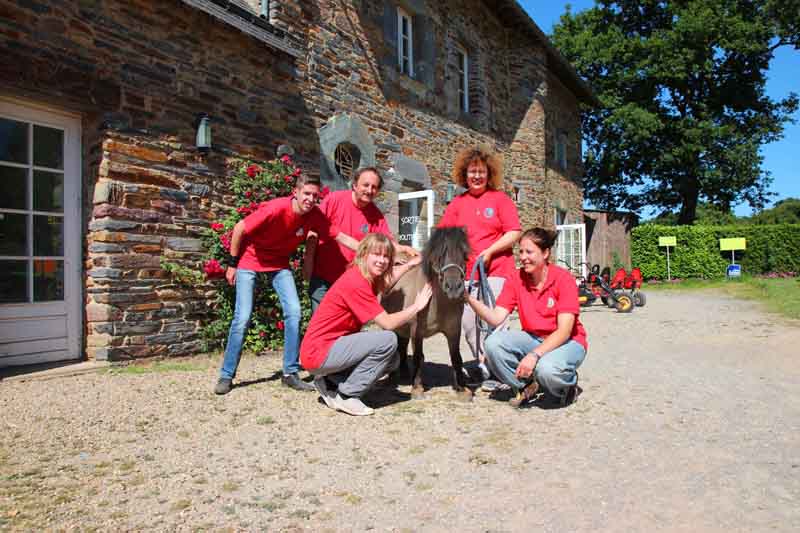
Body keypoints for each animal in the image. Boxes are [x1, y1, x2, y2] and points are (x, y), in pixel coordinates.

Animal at [380, 227, 468, 396]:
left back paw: (404, 373)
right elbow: (418, 357)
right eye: (440, 255)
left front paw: (461, 388)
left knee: (402, 346)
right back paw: (393, 377)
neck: (438, 304)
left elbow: (456, 357)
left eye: (464, 254)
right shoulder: (416, 331)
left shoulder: (454, 330)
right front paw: (417, 388)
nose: (454, 288)